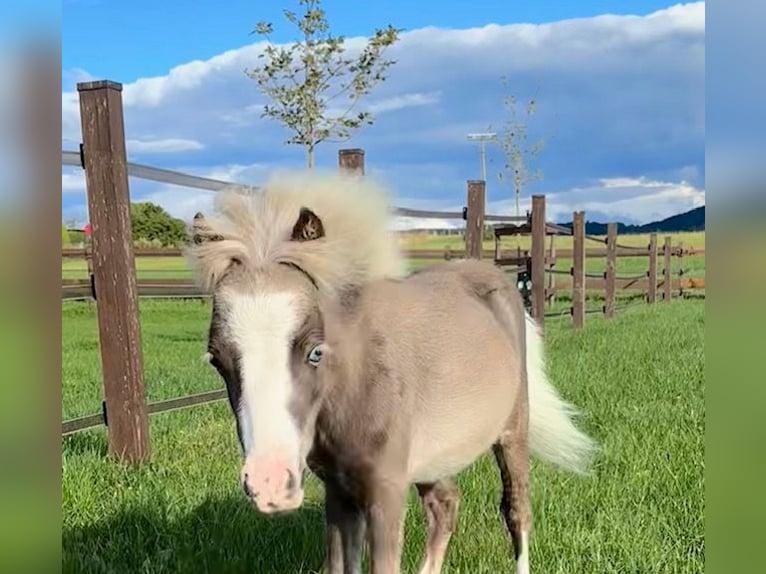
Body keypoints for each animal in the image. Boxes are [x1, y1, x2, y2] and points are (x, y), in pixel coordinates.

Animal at [189, 172, 596, 574]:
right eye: (216, 360)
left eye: (315, 351)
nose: (270, 485)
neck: (355, 387)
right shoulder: (339, 493)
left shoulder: (386, 491)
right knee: (446, 504)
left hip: (512, 431)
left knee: (516, 509)